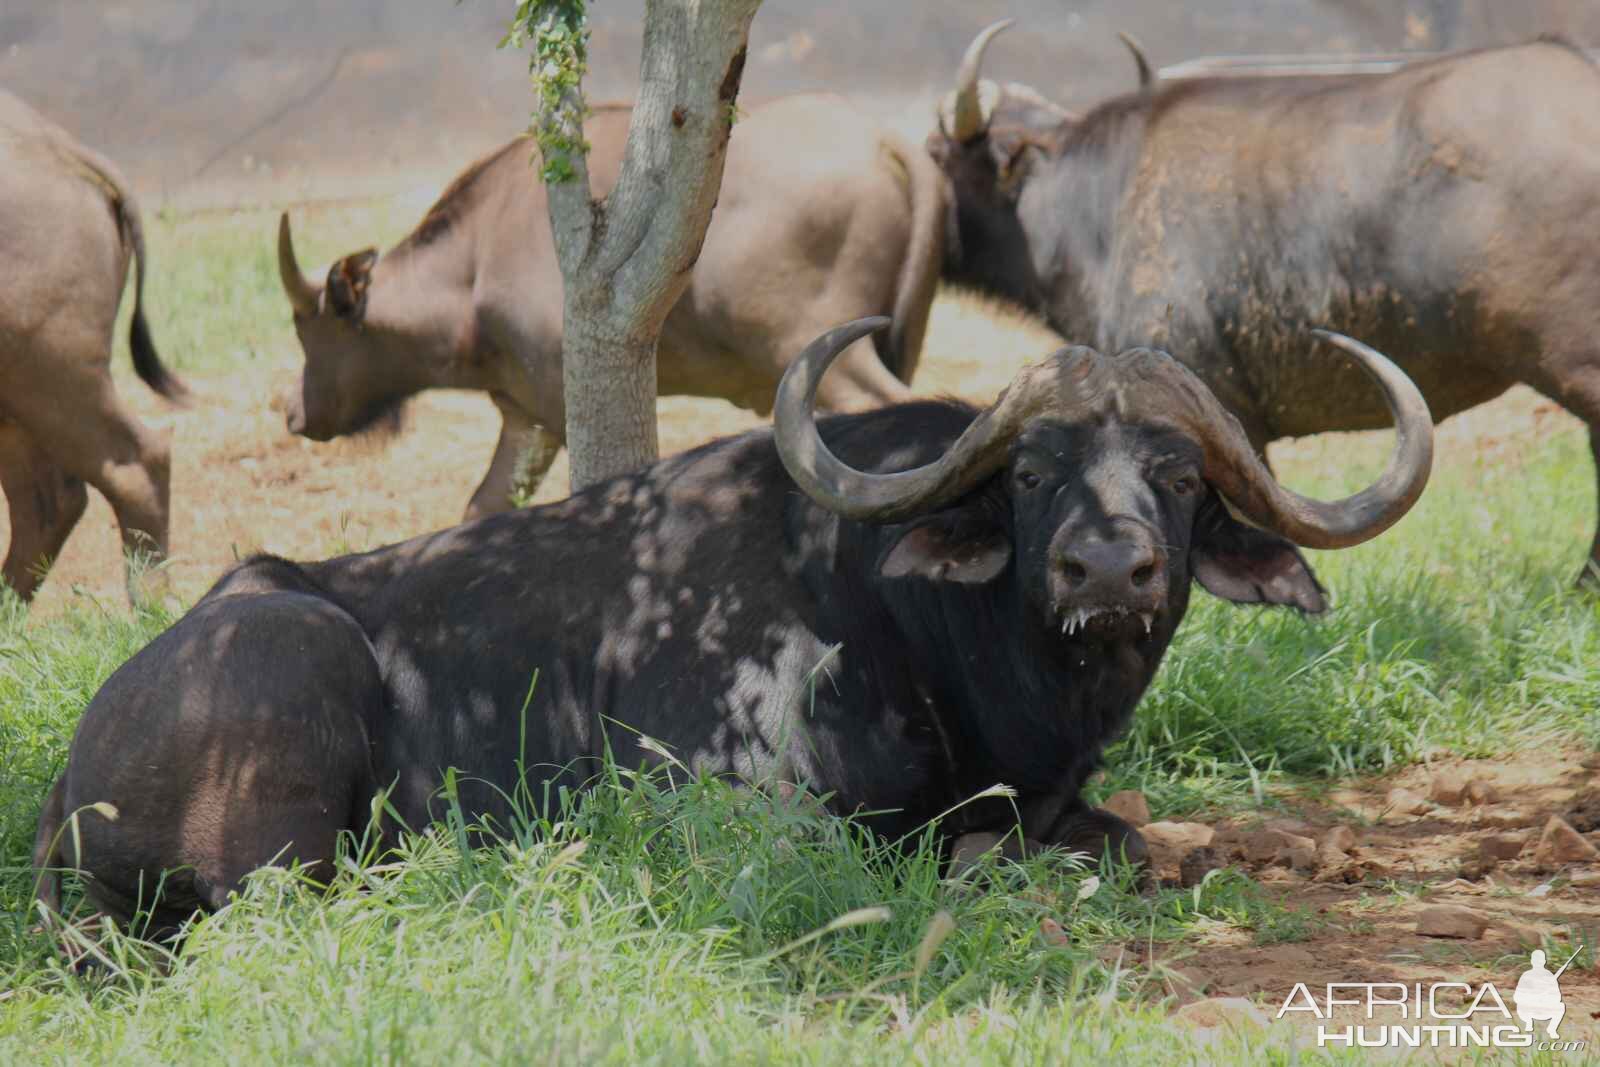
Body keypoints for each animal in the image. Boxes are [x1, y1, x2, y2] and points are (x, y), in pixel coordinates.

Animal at [31, 316, 1433, 934]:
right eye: (1033, 472)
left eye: (1181, 476)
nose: (1110, 568)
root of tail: (65, 779)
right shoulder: (747, 810)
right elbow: (983, 852)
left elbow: (1136, 837)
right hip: (293, 699)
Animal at [278, 93, 947, 518]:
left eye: (309, 327)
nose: (292, 412)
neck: (475, 263)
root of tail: (889, 143)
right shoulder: (527, 420)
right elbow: (481, 507)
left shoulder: (560, 412)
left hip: (819, 352)